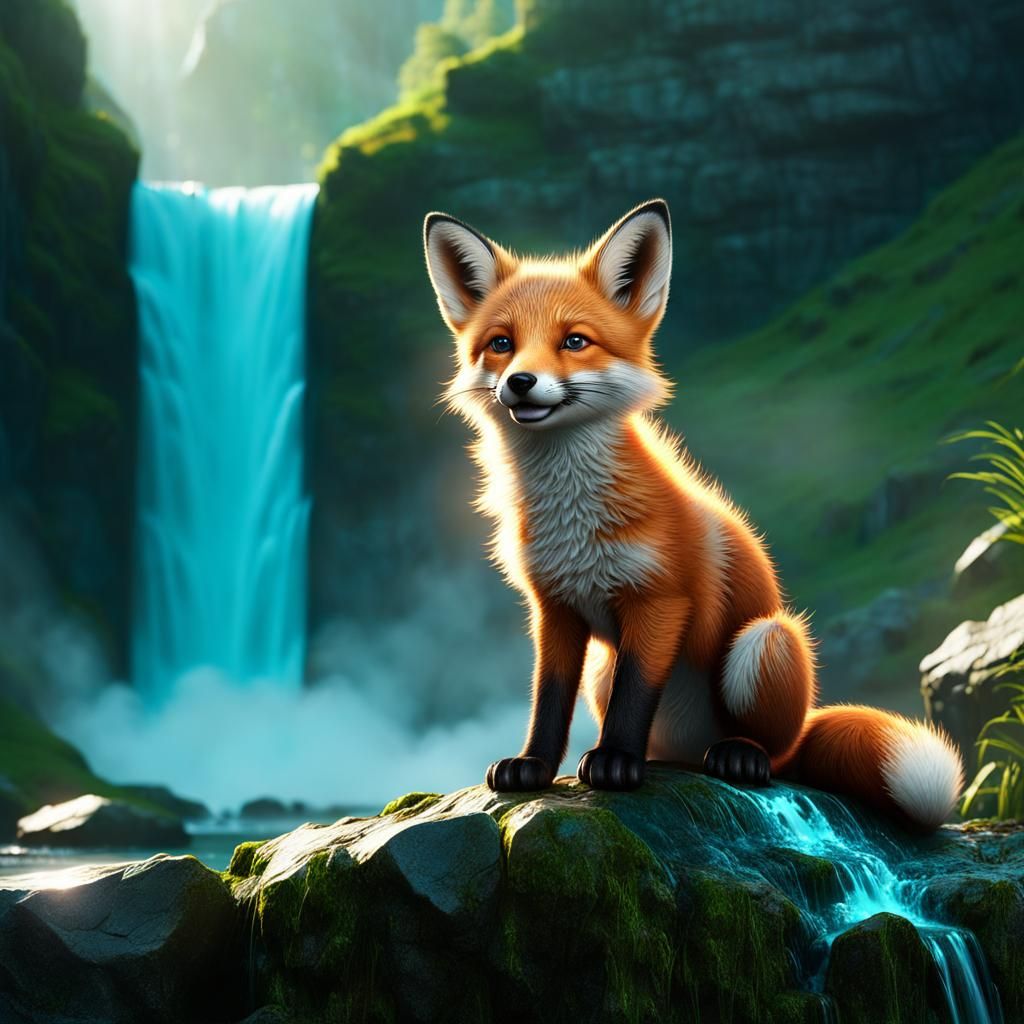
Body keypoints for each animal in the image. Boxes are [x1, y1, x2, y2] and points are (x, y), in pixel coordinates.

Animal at [422, 198, 964, 830]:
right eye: (501, 343)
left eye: (575, 341)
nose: (520, 383)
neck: (572, 518)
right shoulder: (554, 606)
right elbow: (547, 698)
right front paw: (532, 765)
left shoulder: (661, 600)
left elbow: (635, 695)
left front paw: (614, 763)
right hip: (605, 671)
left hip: (765, 641)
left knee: (777, 752)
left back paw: (740, 756)